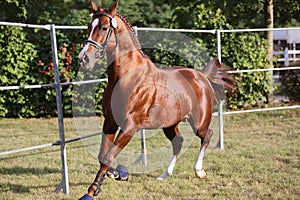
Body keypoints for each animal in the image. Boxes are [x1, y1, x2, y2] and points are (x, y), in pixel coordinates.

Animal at [78, 1, 237, 198]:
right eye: (88, 27)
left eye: (104, 28)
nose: (84, 58)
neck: (127, 77)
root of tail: (202, 76)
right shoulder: (110, 122)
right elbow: (103, 156)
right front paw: (109, 178)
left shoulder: (131, 126)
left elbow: (108, 155)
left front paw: (98, 187)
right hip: (170, 124)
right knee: (178, 142)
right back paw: (165, 174)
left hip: (198, 122)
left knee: (207, 135)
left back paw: (199, 171)